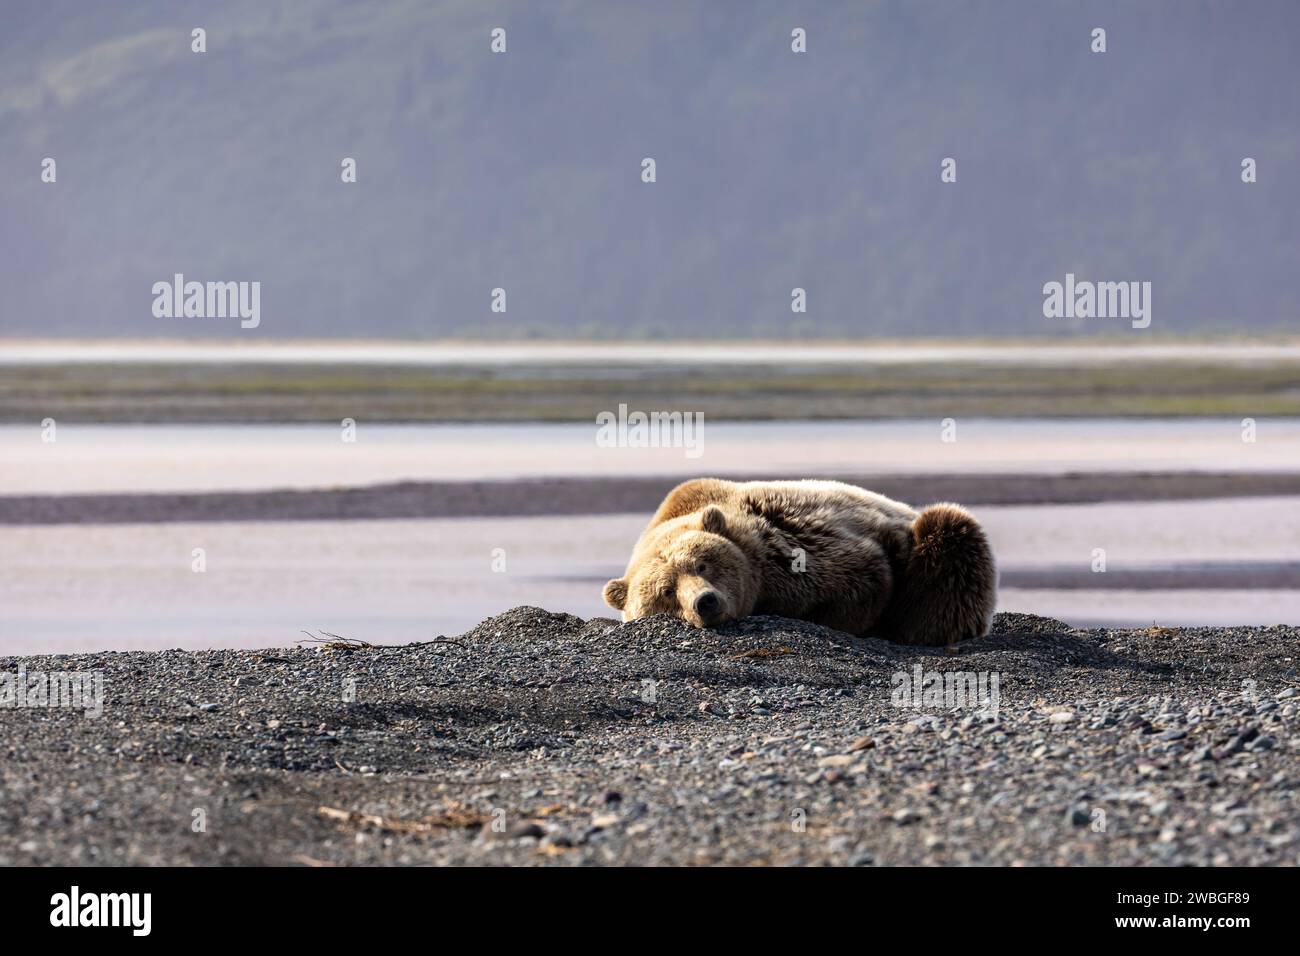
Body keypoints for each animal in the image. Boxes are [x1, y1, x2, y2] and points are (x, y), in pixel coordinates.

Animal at [603, 481, 998, 647]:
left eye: (702, 564)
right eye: (667, 591)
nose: (705, 601)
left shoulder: (795, 547)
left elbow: (864, 581)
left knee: (948, 530)